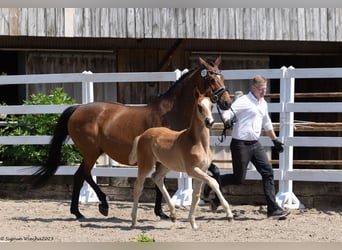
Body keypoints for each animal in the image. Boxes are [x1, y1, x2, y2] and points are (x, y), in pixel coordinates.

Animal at [130, 91, 234, 229]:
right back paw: (133, 220)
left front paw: (193, 223)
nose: (209, 122)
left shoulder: (202, 170)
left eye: (211, 106)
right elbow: (213, 182)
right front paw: (229, 215)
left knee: (156, 178)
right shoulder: (192, 170)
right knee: (138, 186)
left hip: (166, 165)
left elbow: (196, 194)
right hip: (146, 164)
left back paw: (173, 214)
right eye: (199, 107)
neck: (198, 143)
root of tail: (142, 135)